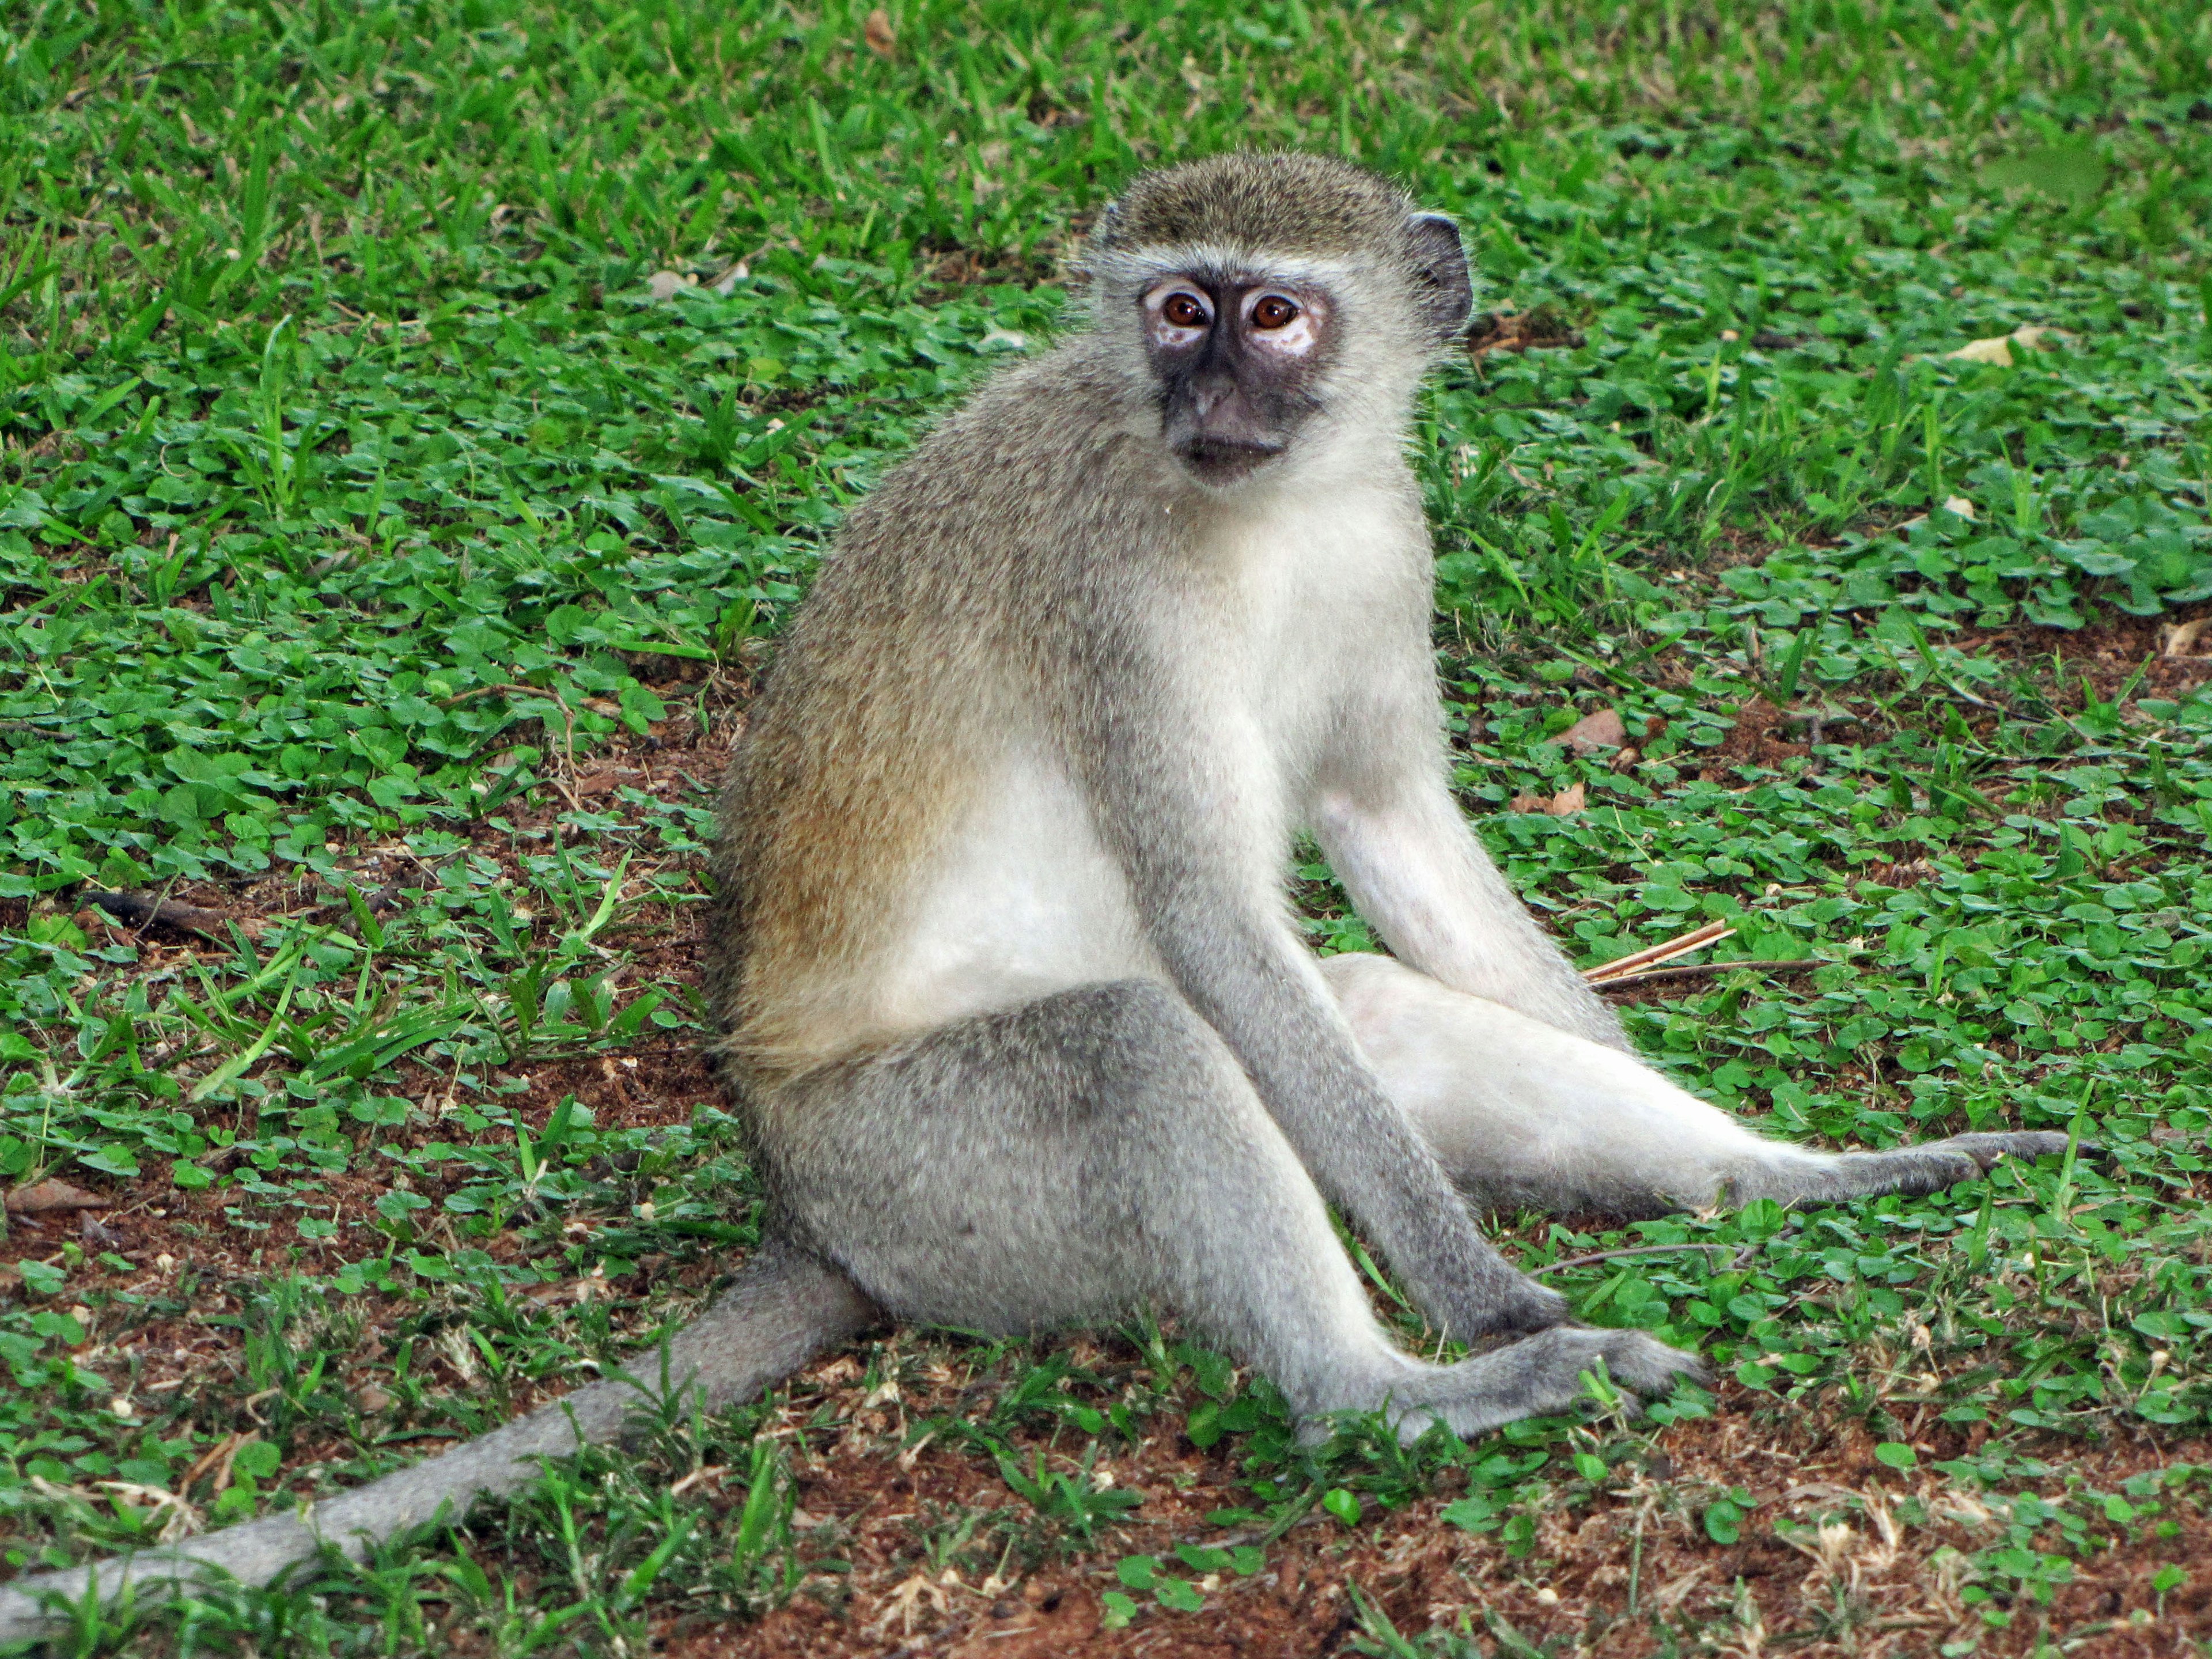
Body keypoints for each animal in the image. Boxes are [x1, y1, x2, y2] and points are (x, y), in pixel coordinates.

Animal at [4, 152, 2070, 1637]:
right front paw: (1489, 1302)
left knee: (1356, 1013)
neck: (1265, 511)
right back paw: (1392, 1393)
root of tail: (799, 1206)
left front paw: (1760, 1165)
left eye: (1274, 316)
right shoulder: (1107, 602)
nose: (1210, 384)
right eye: (1174, 309)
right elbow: (1212, 925)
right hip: (933, 1187)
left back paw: (1789, 1188)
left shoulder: (1385, 551)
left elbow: (1401, 847)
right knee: (1144, 1043)